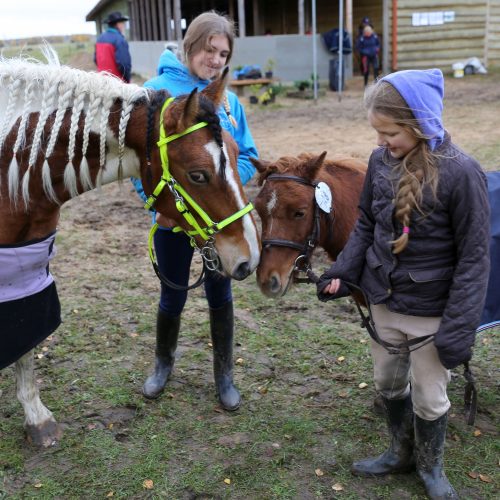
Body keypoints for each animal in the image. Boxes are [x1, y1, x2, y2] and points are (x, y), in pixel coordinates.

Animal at [0, 52, 258, 448]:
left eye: (235, 152)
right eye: (198, 174)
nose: (249, 256)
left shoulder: (24, 272)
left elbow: (25, 340)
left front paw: (36, 418)